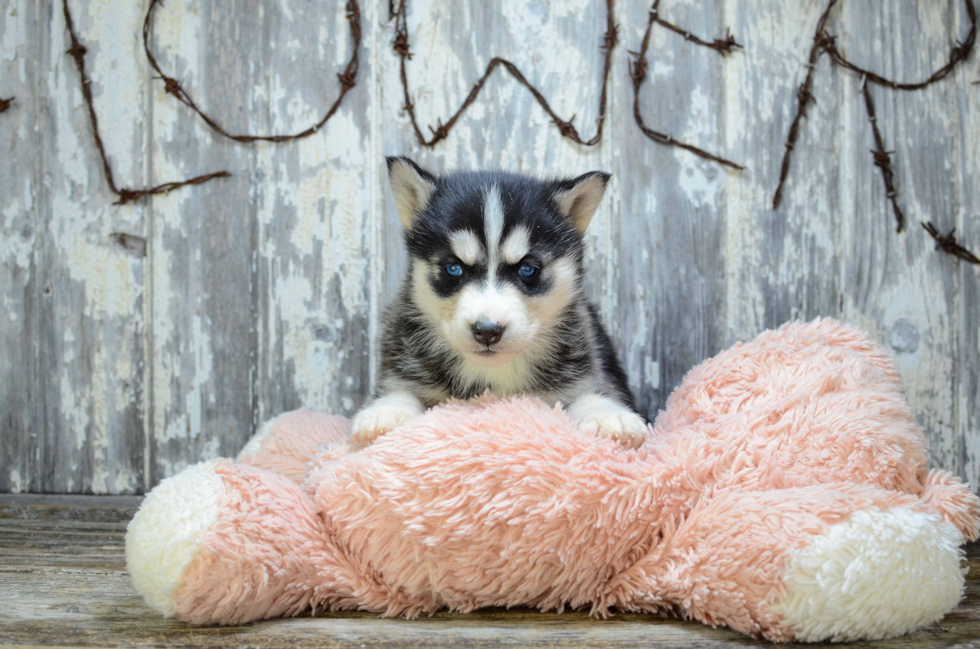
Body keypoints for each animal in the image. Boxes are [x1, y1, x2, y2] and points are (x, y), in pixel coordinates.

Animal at [354, 158, 652, 446]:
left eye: (527, 269)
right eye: (453, 268)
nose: (487, 330)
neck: (492, 380)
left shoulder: (585, 371)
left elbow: (590, 394)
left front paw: (608, 415)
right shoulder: (401, 367)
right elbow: (401, 391)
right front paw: (386, 411)